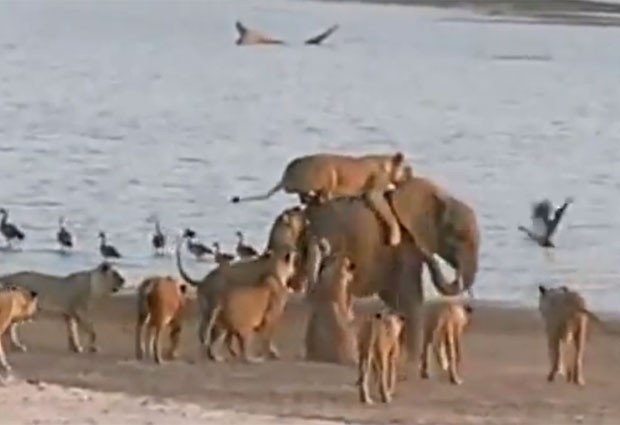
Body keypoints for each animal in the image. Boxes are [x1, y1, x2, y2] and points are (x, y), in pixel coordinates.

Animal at [231, 152, 412, 245]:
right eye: (408, 168)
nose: (411, 174)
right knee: (319, 197)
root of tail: (286, 175)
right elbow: (389, 215)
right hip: (329, 173)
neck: (387, 163)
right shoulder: (374, 192)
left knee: (306, 198)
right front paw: (395, 237)